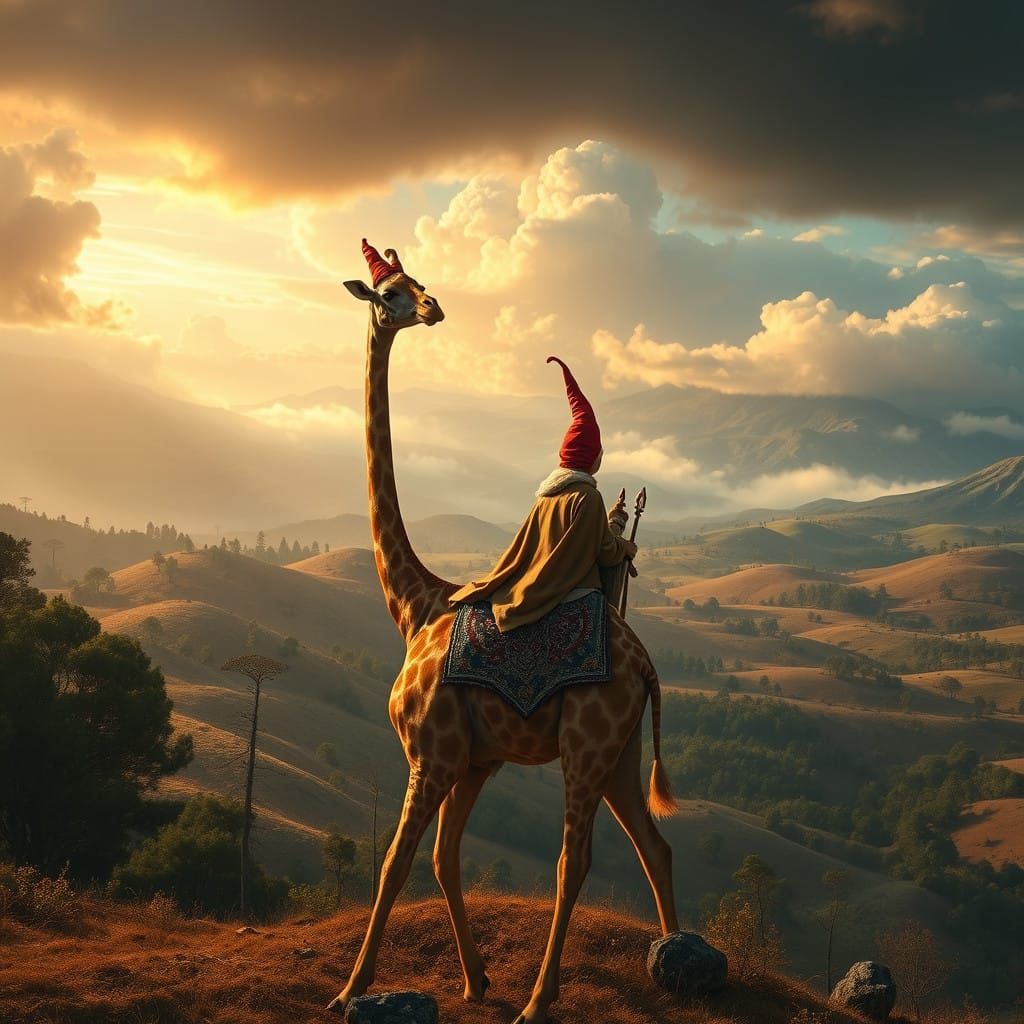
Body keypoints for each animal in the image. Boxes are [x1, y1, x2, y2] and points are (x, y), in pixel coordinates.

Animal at [329, 240, 680, 1024]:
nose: (433, 308)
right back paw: (679, 959)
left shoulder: (430, 753)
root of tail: (646, 667)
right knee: (656, 844)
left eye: (415, 285)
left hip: (585, 747)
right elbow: (441, 857)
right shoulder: (473, 759)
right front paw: (474, 980)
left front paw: (350, 988)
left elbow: (395, 862)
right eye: (393, 291)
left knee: (575, 861)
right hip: (619, 753)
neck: (414, 604)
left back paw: (540, 1001)